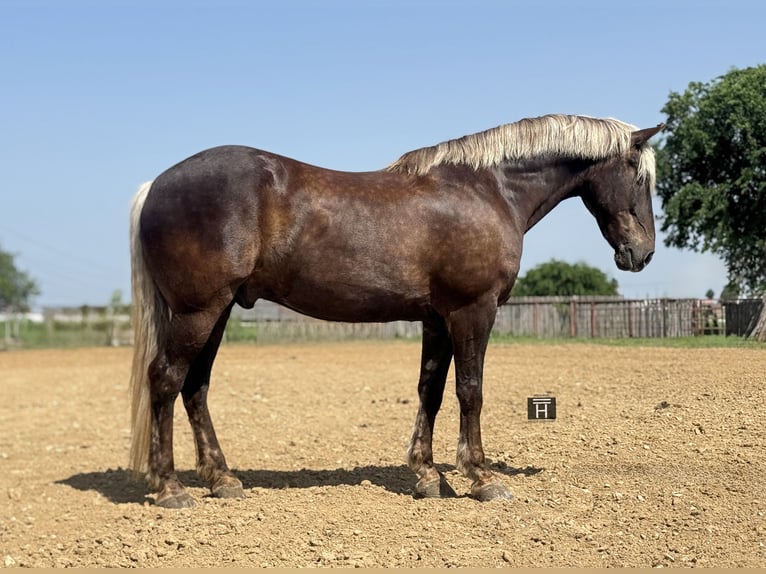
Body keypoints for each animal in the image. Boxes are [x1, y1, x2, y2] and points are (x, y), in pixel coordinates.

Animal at [129, 114, 664, 508]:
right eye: (639, 176)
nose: (642, 254)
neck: (488, 189)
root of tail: (155, 185)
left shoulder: (437, 319)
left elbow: (431, 391)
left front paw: (428, 475)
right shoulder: (473, 311)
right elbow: (470, 391)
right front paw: (481, 476)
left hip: (215, 312)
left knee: (195, 387)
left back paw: (222, 479)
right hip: (199, 311)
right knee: (166, 379)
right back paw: (171, 487)